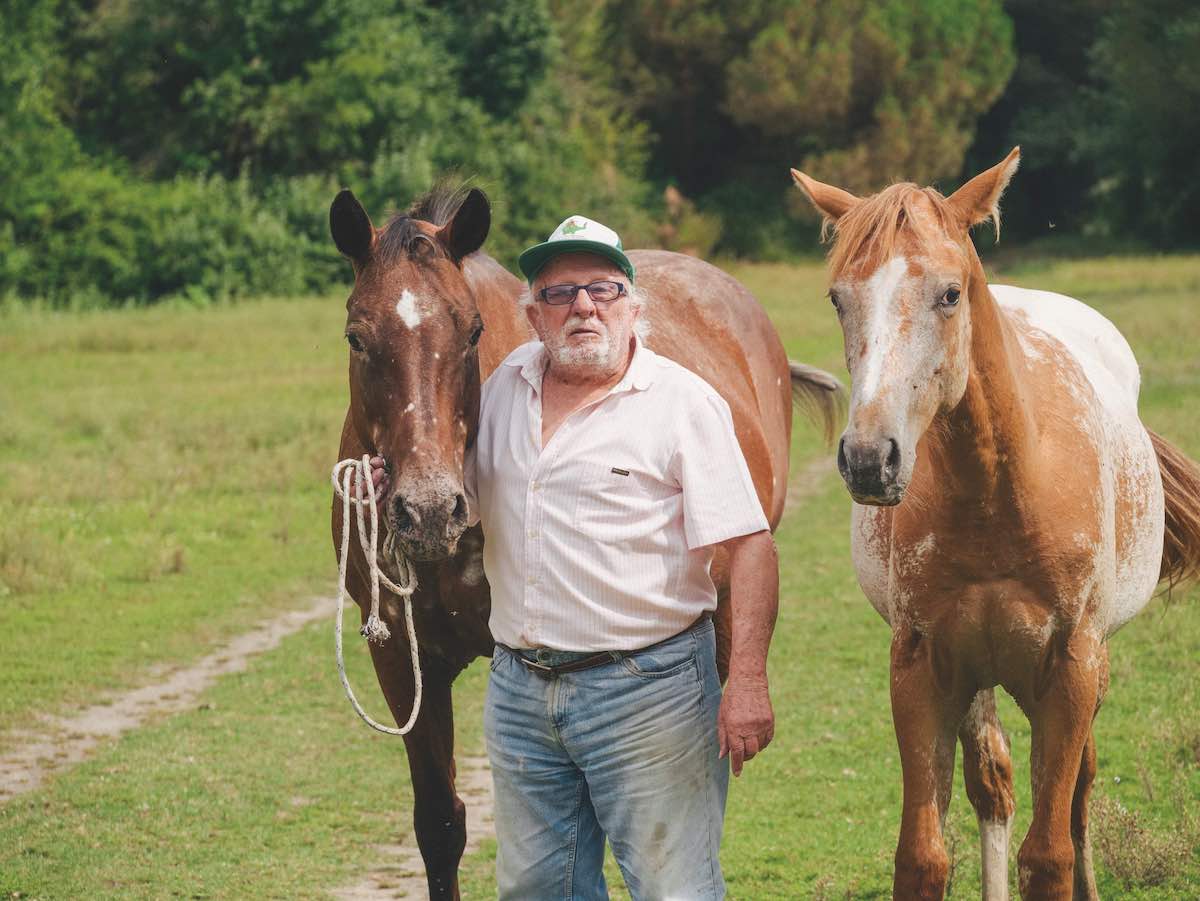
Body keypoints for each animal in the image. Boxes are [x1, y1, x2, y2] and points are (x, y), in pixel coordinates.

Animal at [787, 149, 1200, 901]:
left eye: (951, 294)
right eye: (838, 298)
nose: (869, 459)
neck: (1001, 496)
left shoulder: (1071, 667)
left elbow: (1051, 851)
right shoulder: (920, 668)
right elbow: (924, 853)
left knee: (1077, 791)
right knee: (995, 785)